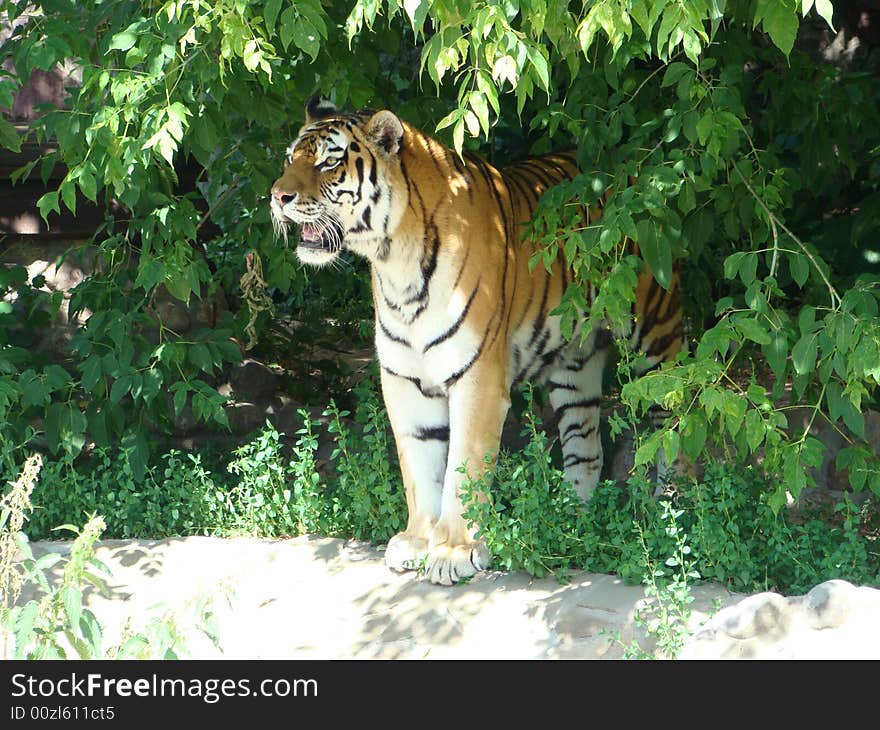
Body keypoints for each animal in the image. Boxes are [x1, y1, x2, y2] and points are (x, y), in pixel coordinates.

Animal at [272, 96, 684, 584]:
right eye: (289, 159)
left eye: (329, 162)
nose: (277, 197)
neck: (394, 260)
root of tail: (630, 169)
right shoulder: (403, 379)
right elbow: (418, 465)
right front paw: (416, 541)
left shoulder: (477, 376)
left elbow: (462, 468)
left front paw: (455, 551)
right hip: (575, 367)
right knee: (586, 447)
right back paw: (568, 522)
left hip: (655, 338)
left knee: (677, 418)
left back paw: (670, 511)